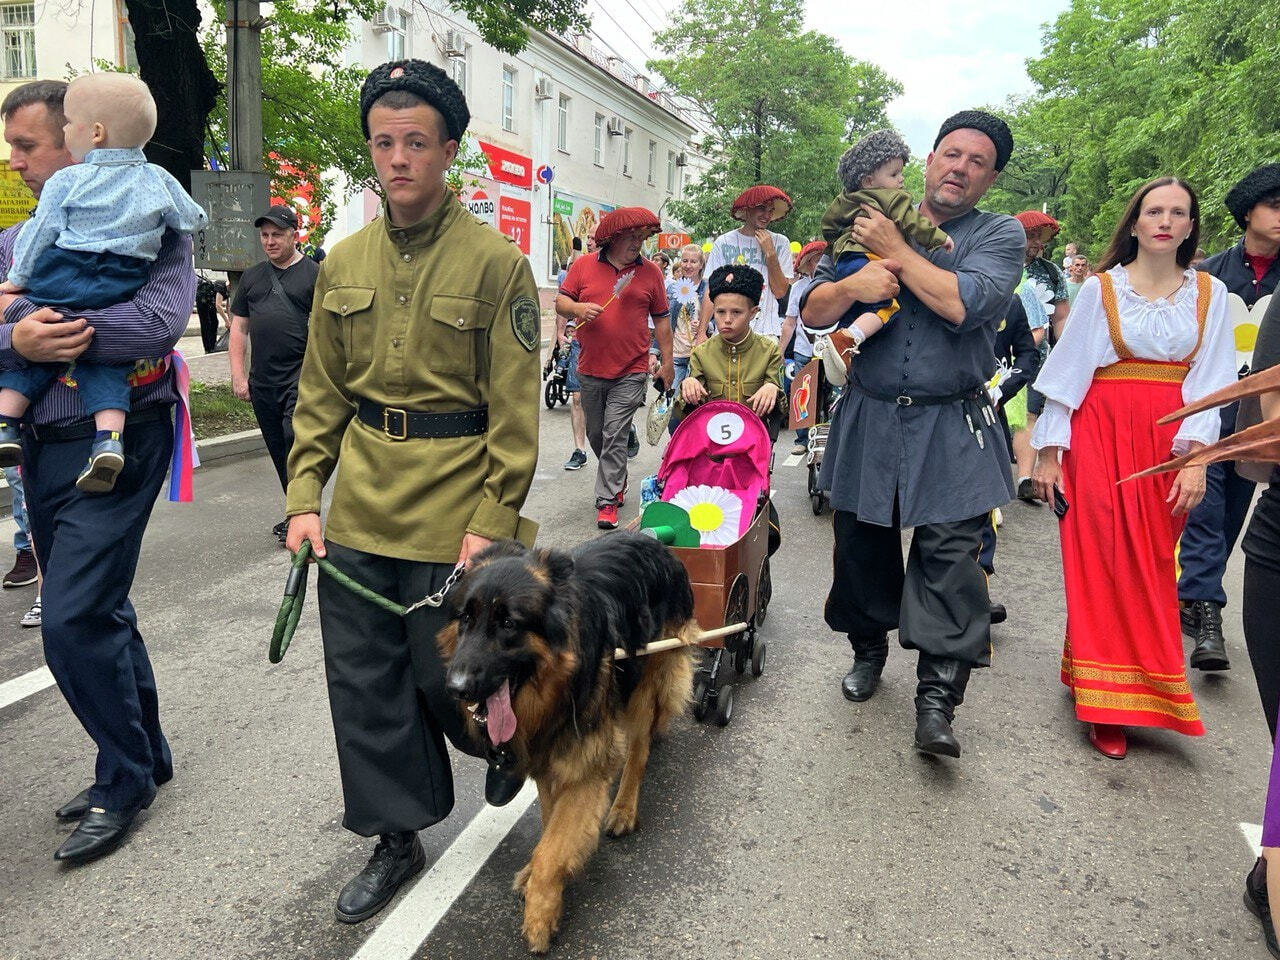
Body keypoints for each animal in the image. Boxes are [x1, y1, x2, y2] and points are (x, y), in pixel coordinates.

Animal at [440, 535, 701, 957]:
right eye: (466, 618)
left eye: (509, 624)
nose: (456, 688)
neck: (555, 684)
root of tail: (656, 541)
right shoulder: (548, 760)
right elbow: (550, 825)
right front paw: (536, 878)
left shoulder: (585, 767)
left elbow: (552, 849)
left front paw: (540, 915)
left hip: (644, 682)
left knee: (638, 749)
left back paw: (624, 808)